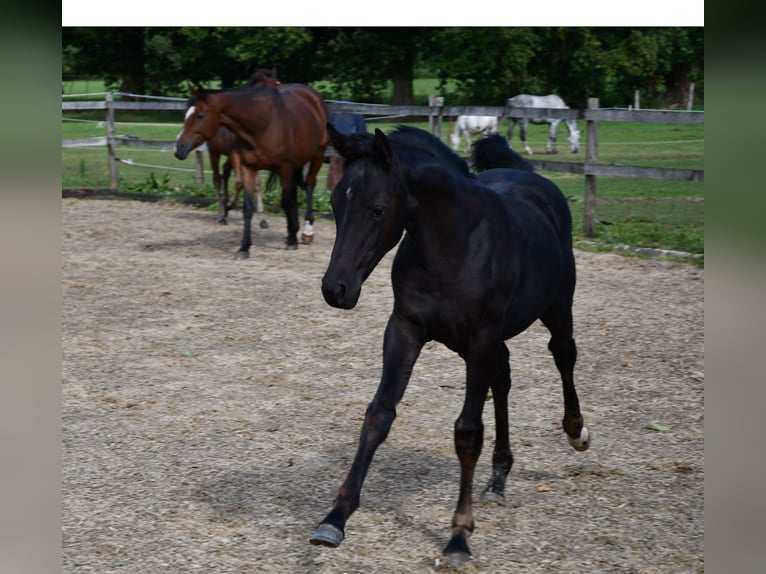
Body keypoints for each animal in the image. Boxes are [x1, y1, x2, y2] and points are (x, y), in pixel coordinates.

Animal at [174, 82, 330, 256]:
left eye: (200, 115)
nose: (179, 148)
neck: (264, 124)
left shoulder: (284, 167)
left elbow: (286, 202)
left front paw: (291, 241)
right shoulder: (248, 167)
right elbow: (248, 207)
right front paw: (244, 247)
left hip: (318, 154)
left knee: (309, 185)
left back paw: (307, 232)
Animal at [308, 127, 592, 568]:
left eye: (377, 209)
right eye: (337, 202)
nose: (335, 290)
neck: (453, 245)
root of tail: (531, 177)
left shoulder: (480, 338)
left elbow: (467, 432)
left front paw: (458, 536)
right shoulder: (405, 330)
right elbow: (379, 415)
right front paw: (334, 518)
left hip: (556, 309)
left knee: (563, 355)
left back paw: (576, 431)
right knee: (503, 377)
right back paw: (497, 478)